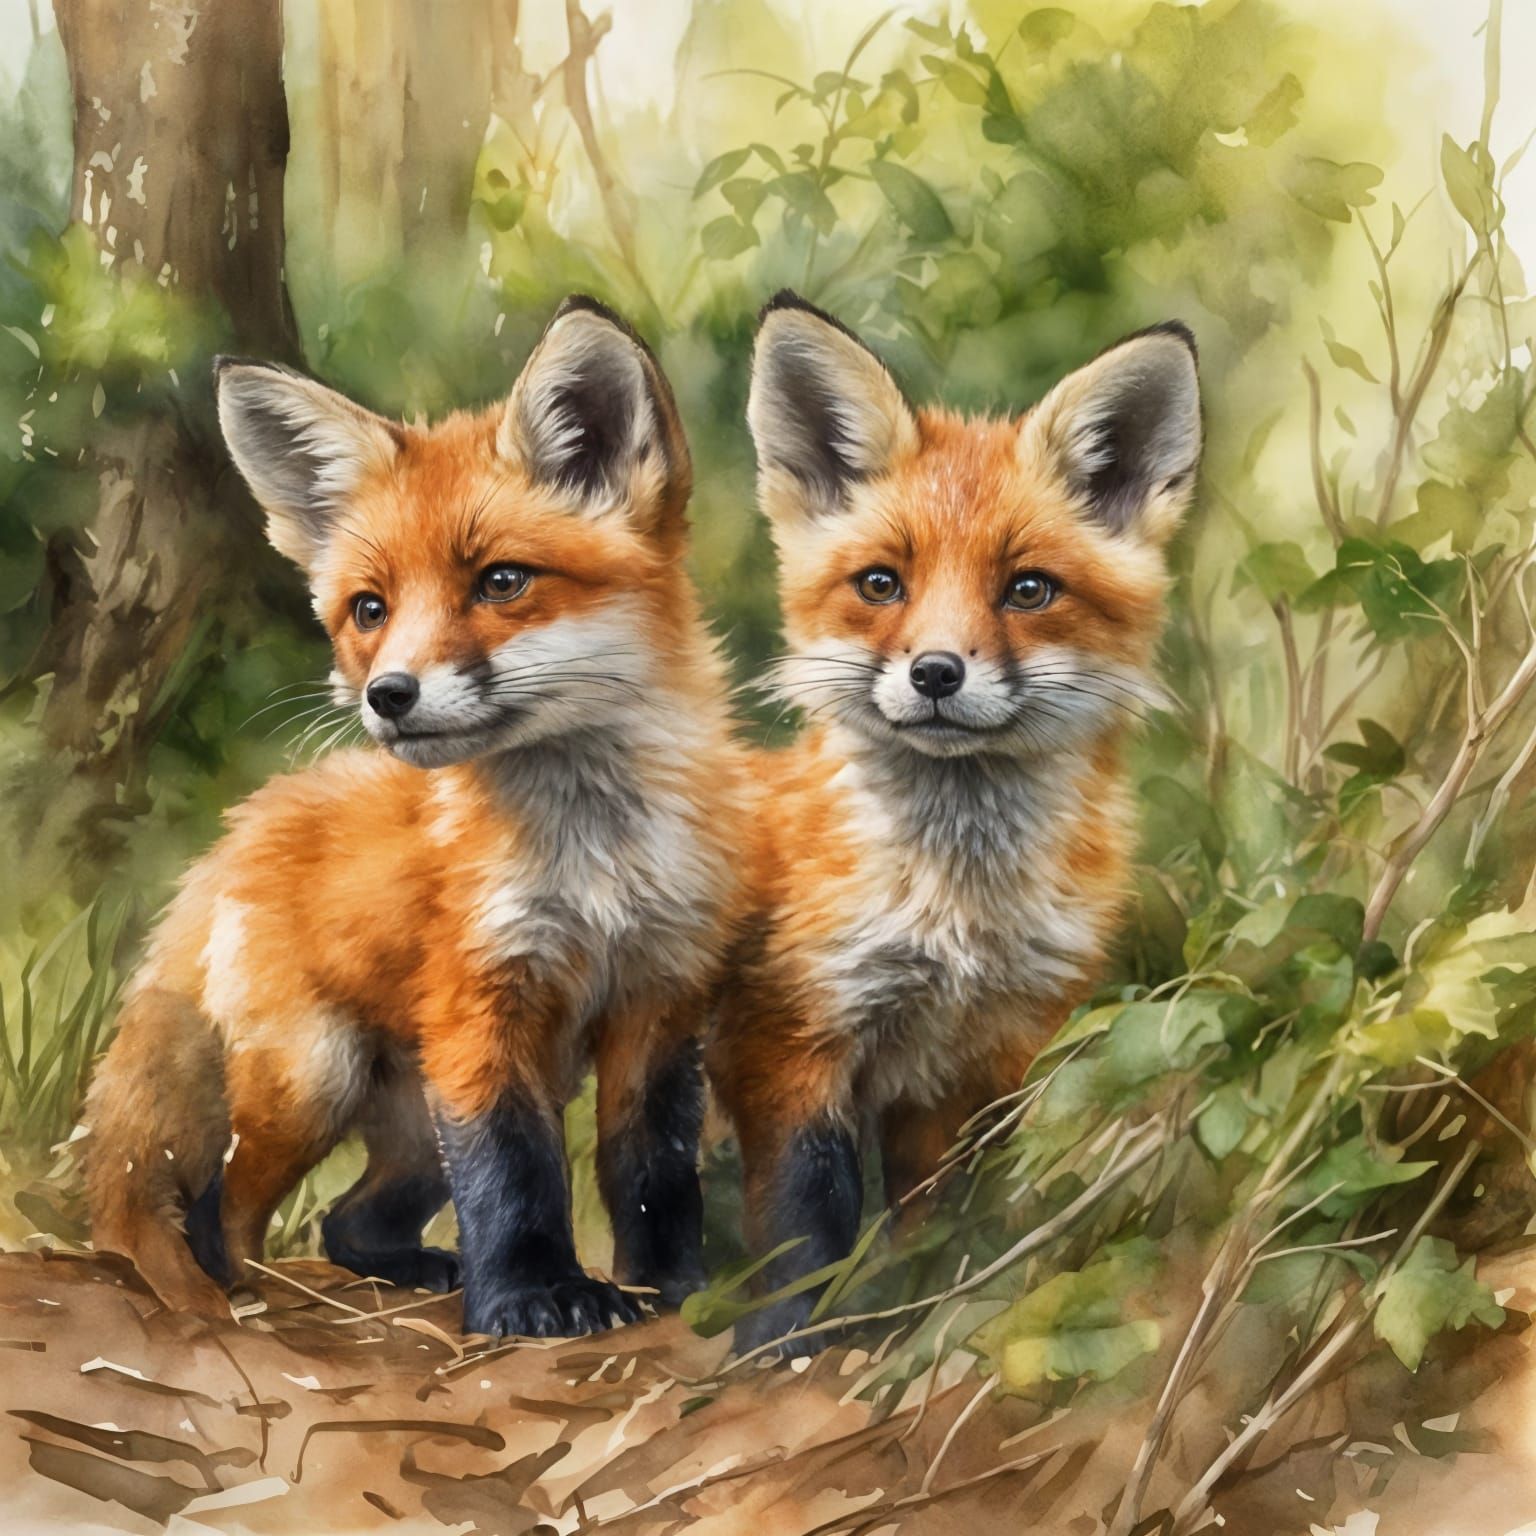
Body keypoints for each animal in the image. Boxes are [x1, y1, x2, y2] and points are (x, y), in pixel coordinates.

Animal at [85, 296, 745, 1338]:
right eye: (370, 609)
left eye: (502, 582)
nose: (389, 696)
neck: (592, 859)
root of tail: (240, 836)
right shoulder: (481, 1006)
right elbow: (516, 1175)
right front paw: (533, 1298)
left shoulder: (661, 1002)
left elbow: (651, 1173)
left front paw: (671, 1287)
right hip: (314, 1081)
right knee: (223, 1210)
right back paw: (252, 1294)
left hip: (416, 1122)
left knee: (347, 1221)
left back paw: (414, 1268)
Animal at [709, 293, 1202, 1354]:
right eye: (881, 584)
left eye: (1028, 589)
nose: (937, 672)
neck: (953, 915)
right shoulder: (790, 1038)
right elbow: (802, 1224)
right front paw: (784, 1348)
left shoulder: (984, 1062)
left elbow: (945, 1220)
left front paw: (926, 1310)